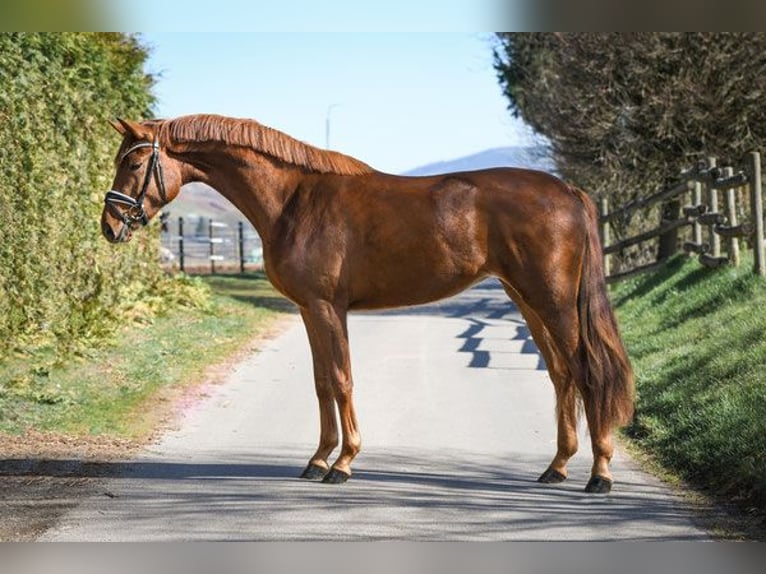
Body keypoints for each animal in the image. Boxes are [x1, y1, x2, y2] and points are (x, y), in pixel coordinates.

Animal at [99, 113, 632, 496]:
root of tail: (567, 191)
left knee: (587, 371)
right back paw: (556, 467)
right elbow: (321, 383)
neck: (294, 198)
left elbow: (340, 378)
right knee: (561, 374)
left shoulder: (327, 307)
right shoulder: (310, 310)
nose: (109, 225)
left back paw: (599, 475)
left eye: (133, 163)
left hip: (552, 301)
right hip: (527, 300)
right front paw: (318, 460)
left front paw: (344, 462)